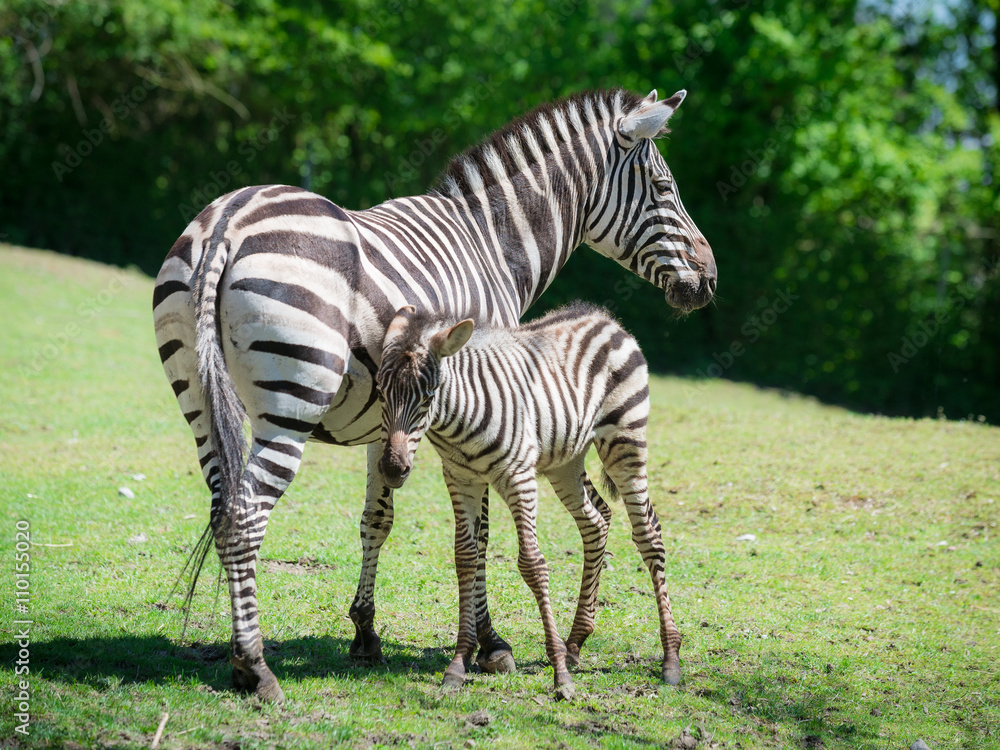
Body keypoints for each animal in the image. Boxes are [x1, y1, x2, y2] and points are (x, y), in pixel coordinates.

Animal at [375, 302, 682, 699]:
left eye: (429, 395)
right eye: (381, 392)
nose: (392, 470)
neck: (458, 421)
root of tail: (604, 318)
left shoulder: (518, 475)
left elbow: (532, 565)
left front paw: (560, 676)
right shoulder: (460, 477)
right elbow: (466, 559)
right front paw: (457, 666)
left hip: (625, 441)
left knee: (648, 534)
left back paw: (670, 658)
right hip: (566, 461)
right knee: (595, 522)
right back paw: (576, 642)